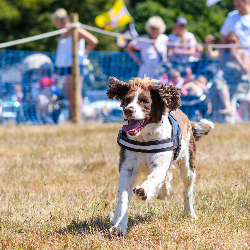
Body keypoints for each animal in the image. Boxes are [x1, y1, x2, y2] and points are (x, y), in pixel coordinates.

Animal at [106, 75, 214, 234]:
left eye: (145, 101)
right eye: (127, 100)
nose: (128, 110)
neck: (145, 138)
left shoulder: (160, 164)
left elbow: (155, 177)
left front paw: (143, 191)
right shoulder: (127, 168)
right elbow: (123, 199)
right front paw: (119, 226)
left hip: (188, 165)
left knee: (187, 190)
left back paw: (189, 213)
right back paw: (163, 193)